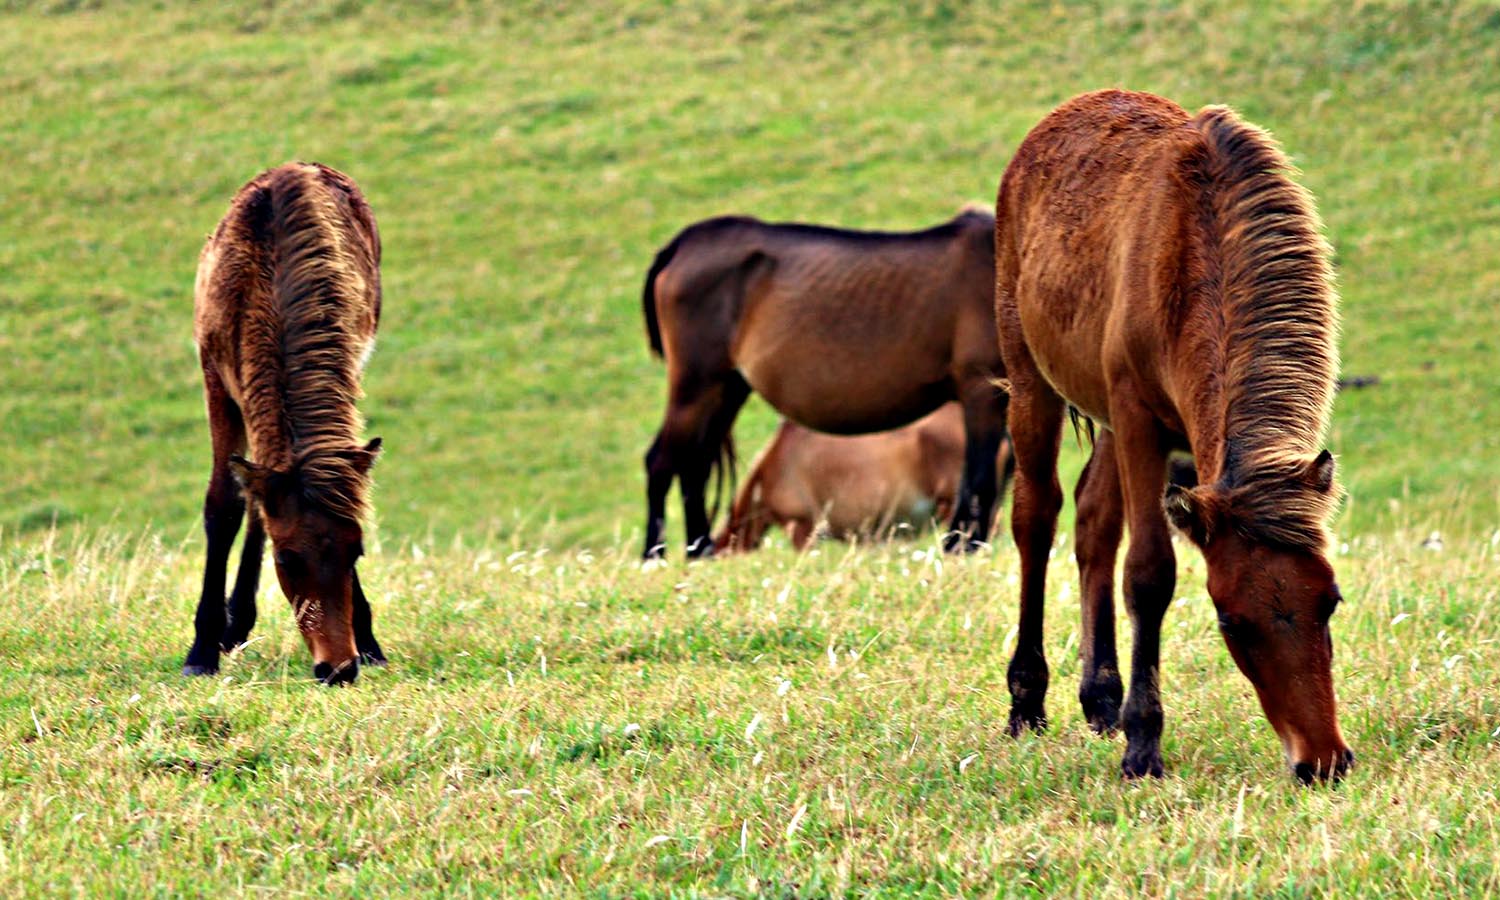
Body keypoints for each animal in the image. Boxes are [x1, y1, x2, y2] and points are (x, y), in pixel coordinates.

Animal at [184, 162, 386, 686]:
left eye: (356, 552)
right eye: (287, 558)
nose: (338, 668)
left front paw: (371, 641)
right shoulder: (215, 376)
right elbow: (223, 505)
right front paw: (202, 648)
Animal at [993, 90, 1351, 782]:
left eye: (1331, 600)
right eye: (1232, 621)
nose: (1322, 761)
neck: (1196, 264)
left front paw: (1124, 717)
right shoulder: (1137, 416)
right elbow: (1149, 571)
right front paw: (1143, 745)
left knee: (1093, 520)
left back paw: (1100, 696)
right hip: (1030, 378)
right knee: (1036, 515)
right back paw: (1028, 702)